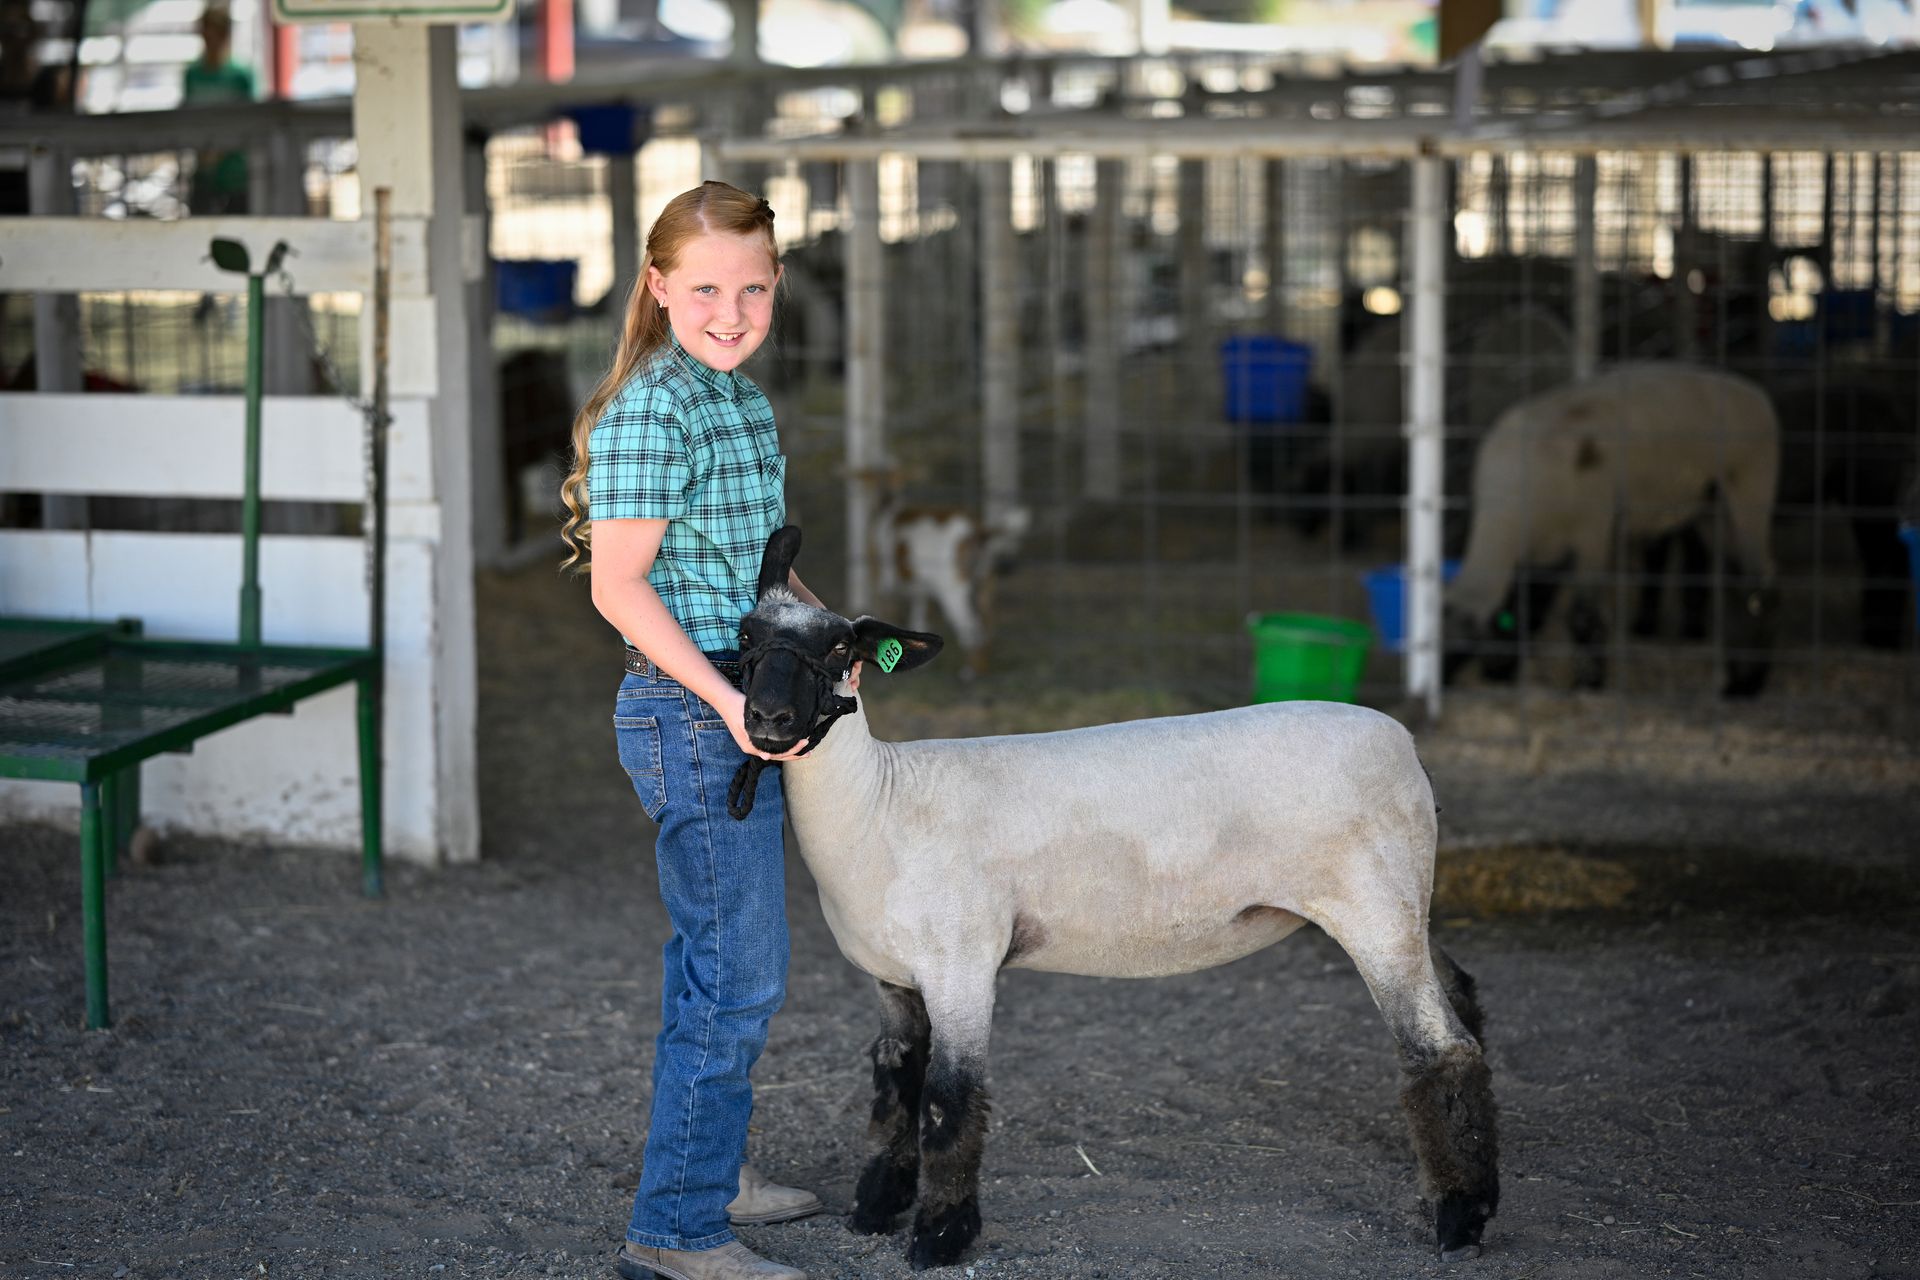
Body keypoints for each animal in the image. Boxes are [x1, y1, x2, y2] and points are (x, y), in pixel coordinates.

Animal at [725, 529, 1489, 1274]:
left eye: (840, 650)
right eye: (745, 636)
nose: (768, 718)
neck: (882, 805)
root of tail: (1405, 743)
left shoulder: (961, 964)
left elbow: (949, 1099)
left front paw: (940, 1237)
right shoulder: (892, 977)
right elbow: (895, 1086)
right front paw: (876, 1209)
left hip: (1372, 904)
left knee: (1441, 1050)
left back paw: (1461, 1220)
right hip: (1404, 899)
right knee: (1462, 1000)